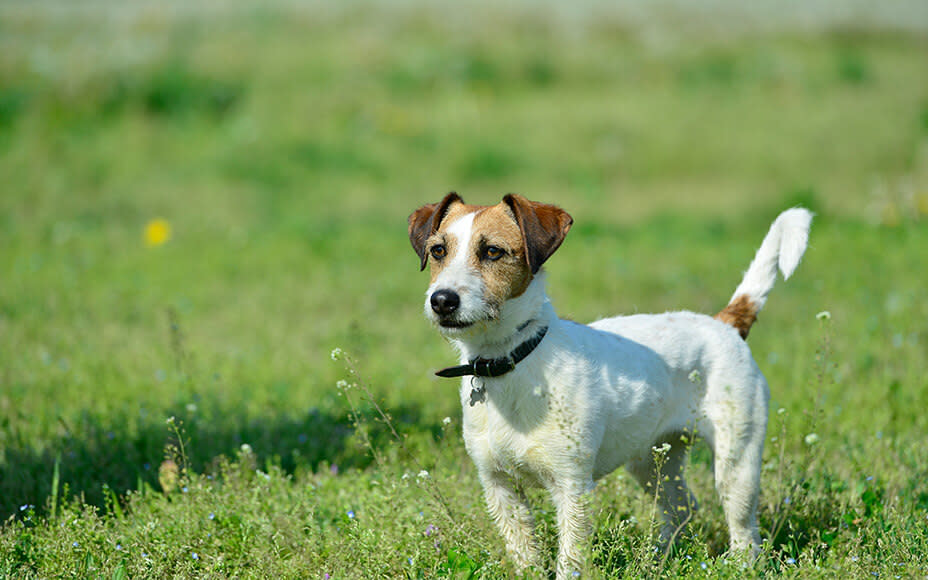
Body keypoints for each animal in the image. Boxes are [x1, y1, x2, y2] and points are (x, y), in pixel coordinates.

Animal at [410, 193, 808, 576]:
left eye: (492, 251)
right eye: (438, 251)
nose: (442, 300)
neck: (513, 360)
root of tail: (724, 323)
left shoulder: (572, 487)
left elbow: (569, 559)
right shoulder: (499, 486)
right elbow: (524, 554)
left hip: (736, 463)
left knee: (744, 531)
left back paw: (739, 565)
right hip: (652, 460)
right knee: (681, 509)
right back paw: (657, 561)